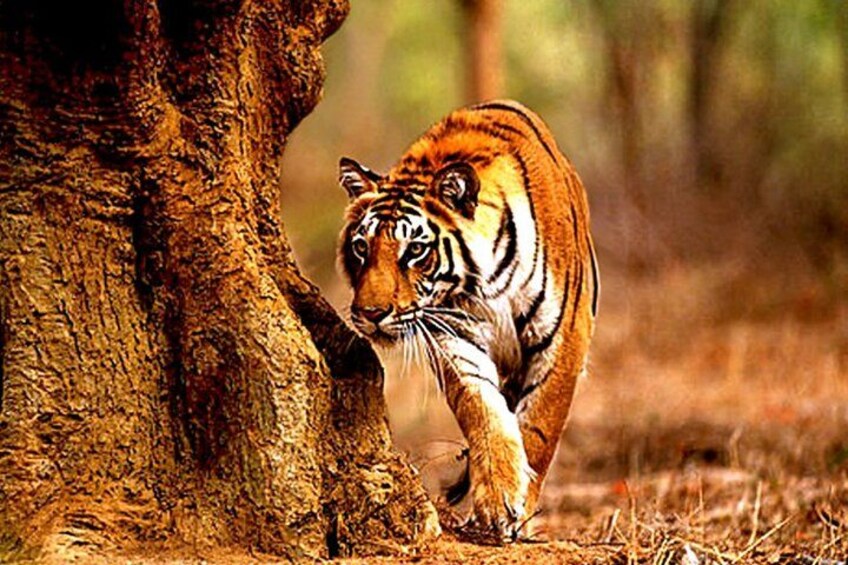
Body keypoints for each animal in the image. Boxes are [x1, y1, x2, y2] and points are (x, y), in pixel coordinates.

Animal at [336, 100, 599, 541]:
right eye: (361, 248)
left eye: (415, 250)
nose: (370, 315)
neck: (485, 282)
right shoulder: (454, 334)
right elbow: (484, 413)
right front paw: (498, 500)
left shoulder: (564, 337)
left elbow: (539, 428)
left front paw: (521, 512)